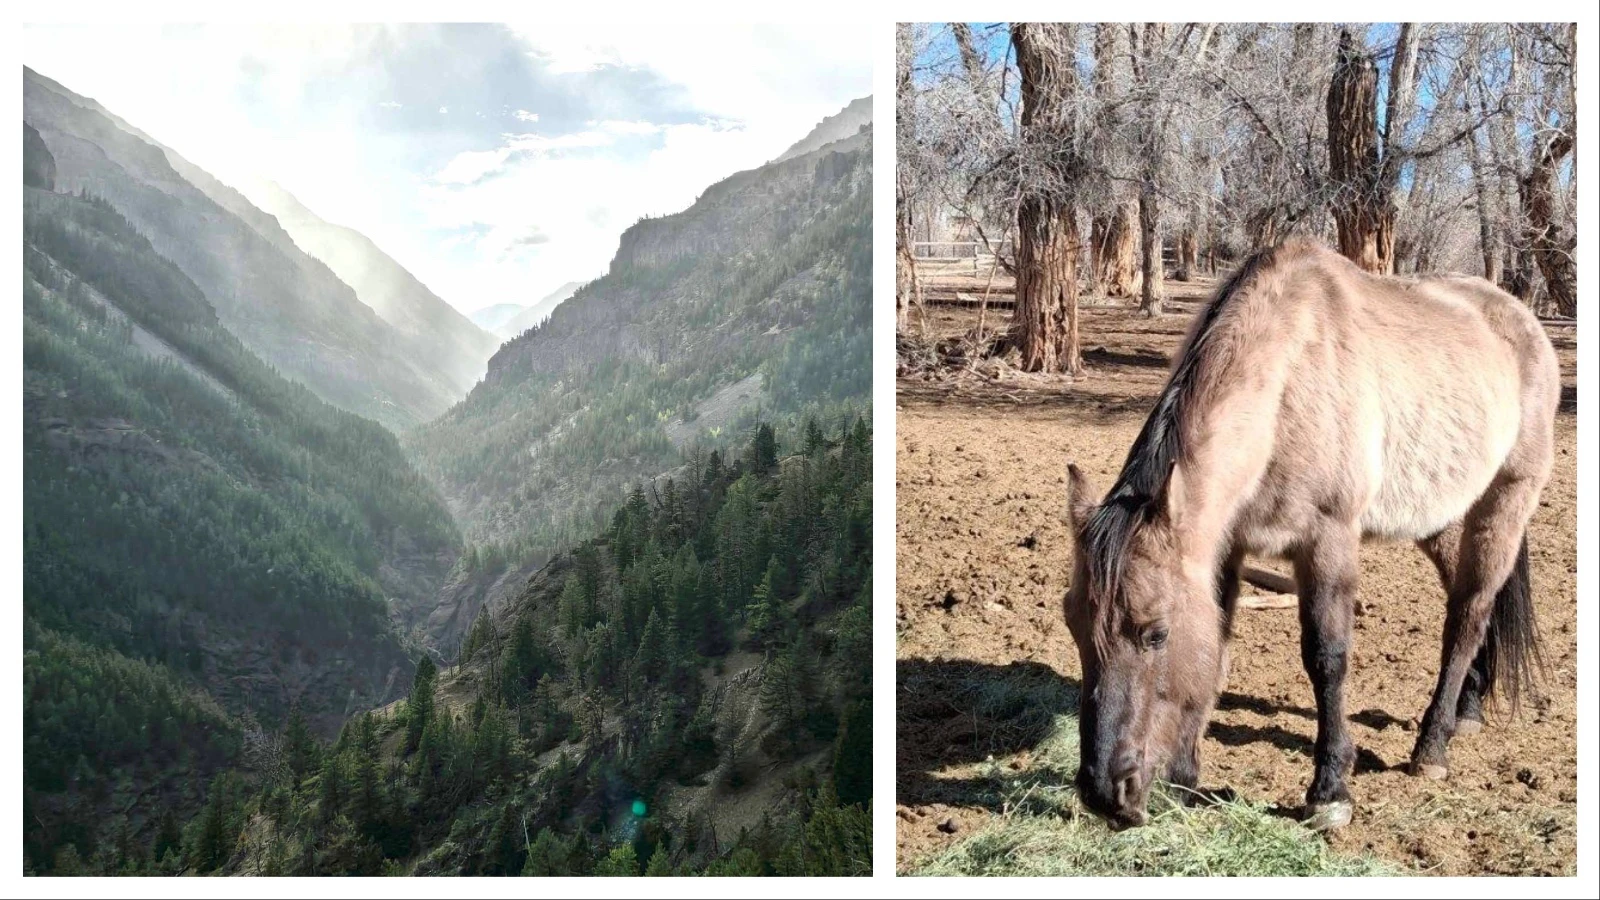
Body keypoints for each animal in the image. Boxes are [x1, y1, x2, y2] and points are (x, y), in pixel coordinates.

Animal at [1061, 238, 1559, 832]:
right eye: (1073, 625)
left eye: (1155, 633)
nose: (1103, 793)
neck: (1285, 385)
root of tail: (1522, 320)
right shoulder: (1225, 548)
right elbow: (1217, 645)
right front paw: (1185, 779)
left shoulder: (1327, 540)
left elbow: (1327, 657)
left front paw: (1330, 790)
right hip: (1438, 516)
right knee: (1469, 601)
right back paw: (1469, 707)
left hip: (1504, 503)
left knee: (1469, 614)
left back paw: (1433, 746)